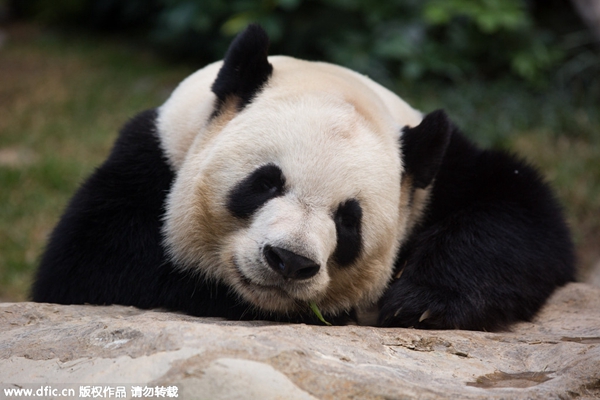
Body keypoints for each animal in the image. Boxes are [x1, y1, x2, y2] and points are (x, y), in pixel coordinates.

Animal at [30, 25, 576, 332]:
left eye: (349, 220)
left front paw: (422, 303)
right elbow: (93, 259)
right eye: (265, 183)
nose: (289, 261)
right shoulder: (157, 151)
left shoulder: (439, 178)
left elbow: (521, 216)